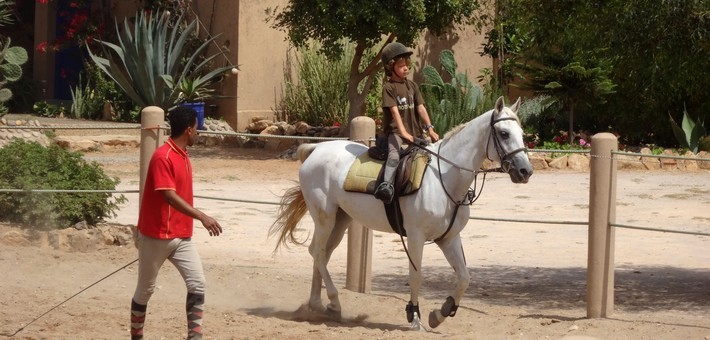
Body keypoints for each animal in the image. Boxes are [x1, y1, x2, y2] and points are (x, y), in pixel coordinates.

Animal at [272, 96, 536, 330]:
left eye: (522, 134)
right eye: (504, 133)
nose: (525, 171)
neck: (444, 177)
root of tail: (316, 149)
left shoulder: (449, 238)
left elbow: (464, 278)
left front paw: (440, 314)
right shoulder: (416, 237)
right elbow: (416, 276)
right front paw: (415, 316)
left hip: (341, 219)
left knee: (322, 254)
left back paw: (318, 304)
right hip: (325, 217)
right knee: (317, 252)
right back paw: (334, 302)